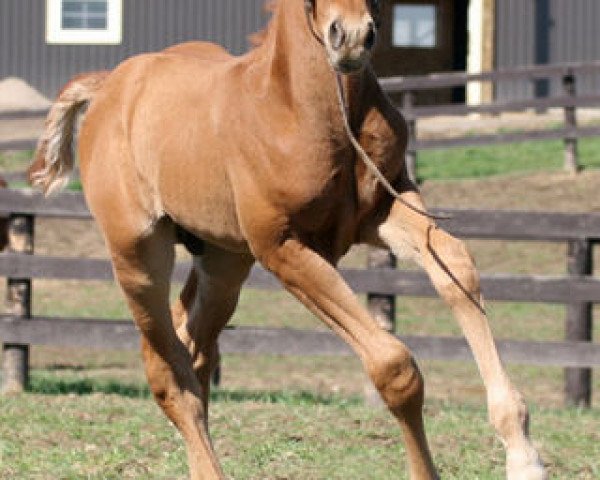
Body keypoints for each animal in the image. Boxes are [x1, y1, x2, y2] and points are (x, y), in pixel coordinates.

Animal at [30, 1, 548, 478]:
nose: (351, 37)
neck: (300, 111)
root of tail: (109, 86)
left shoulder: (386, 206)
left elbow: (456, 267)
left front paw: (524, 457)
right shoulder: (282, 249)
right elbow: (394, 367)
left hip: (224, 261)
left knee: (193, 354)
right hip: (138, 255)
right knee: (168, 373)